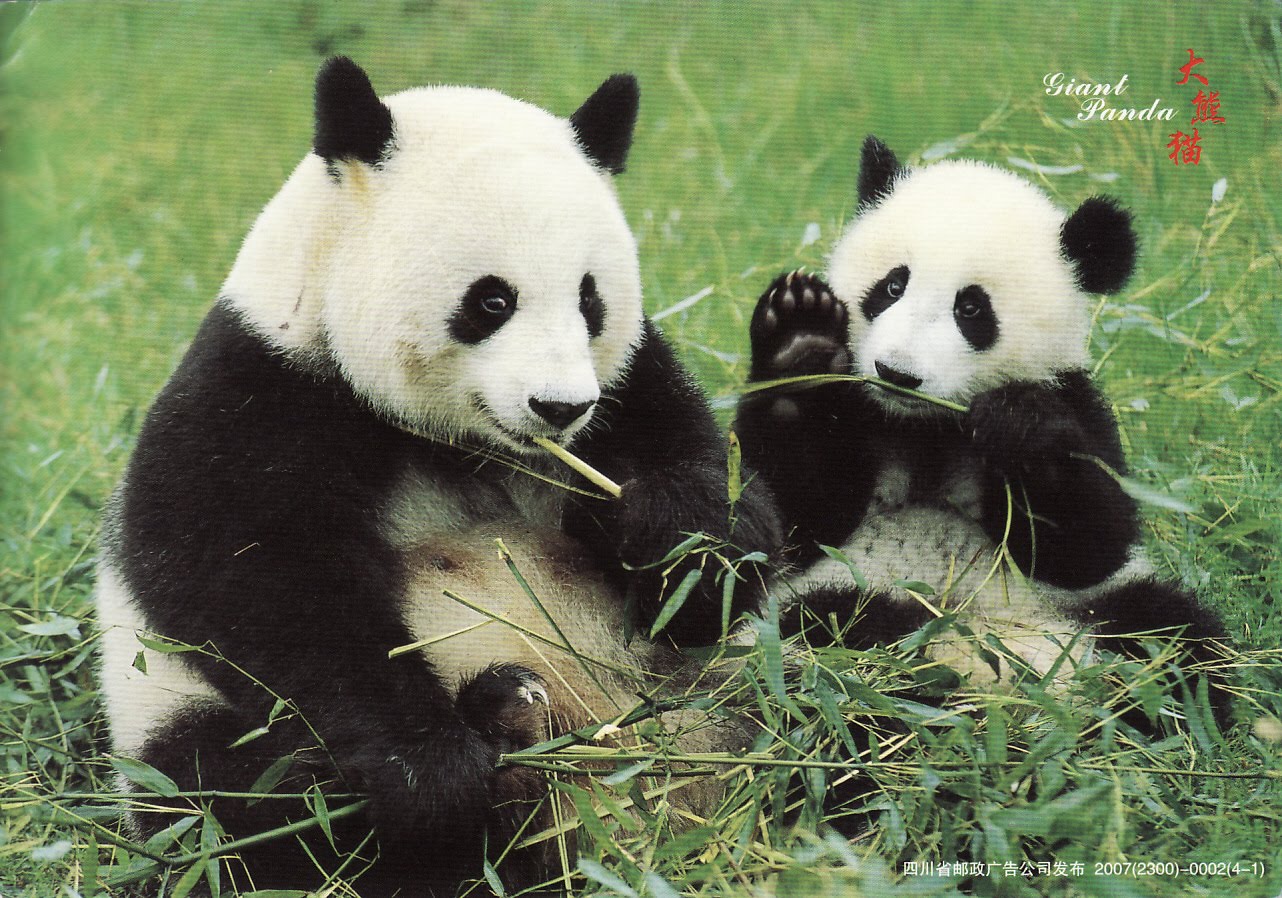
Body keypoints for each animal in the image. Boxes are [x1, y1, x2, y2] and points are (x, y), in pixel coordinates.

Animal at [95, 57, 780, 896]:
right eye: (491, 300)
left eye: (590, 299)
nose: (560, 408)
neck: (459, 442)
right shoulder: (265, 386)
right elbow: (253, 580)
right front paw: (431, 773)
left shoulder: (633, 384)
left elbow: (719, 546)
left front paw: (661, 525)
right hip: (171, 714)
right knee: (243, 804)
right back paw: (498, 727)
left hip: (738, 685)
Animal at [735, 135, 1229, 723]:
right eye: (892, 286)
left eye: (971, 308)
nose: (897, 373)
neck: (925, 423)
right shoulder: (859, 418)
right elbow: (792, 517)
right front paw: (801, 342)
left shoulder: (1075, 398)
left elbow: (1088, 544)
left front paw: (1021, 424)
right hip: (824, 604)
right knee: (826, 638)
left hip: (1095, 611)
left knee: (1175, 640)